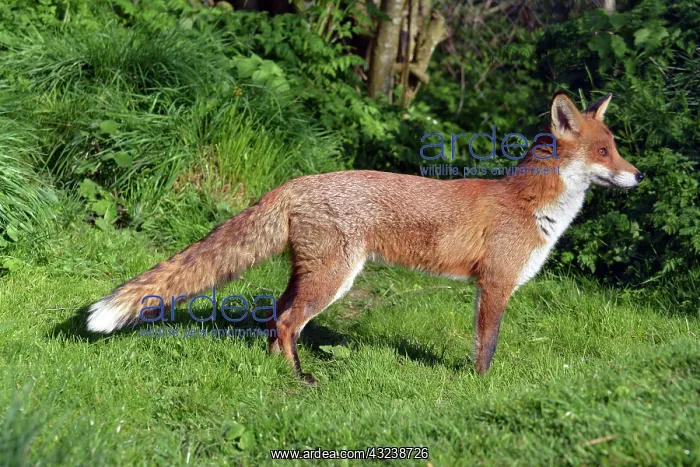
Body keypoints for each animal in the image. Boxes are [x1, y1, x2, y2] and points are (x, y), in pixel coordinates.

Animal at [86, 92, 644, 385]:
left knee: (274, 319)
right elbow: (486, 347)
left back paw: (276, 373)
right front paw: (482, 388)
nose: (638, 176)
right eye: (603, 152)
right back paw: (300, 380)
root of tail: (296, 181)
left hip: (310, 274)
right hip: (333, 278)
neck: (532, 205)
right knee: (286, 322)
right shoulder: (496, 285)